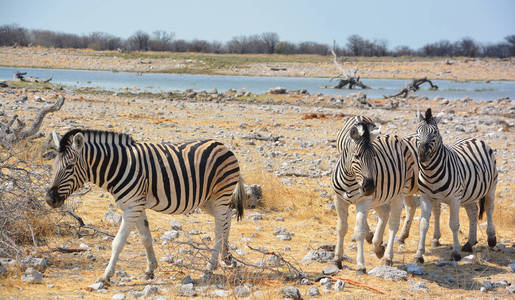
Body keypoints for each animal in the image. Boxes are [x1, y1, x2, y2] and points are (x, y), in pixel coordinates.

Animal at [45, 129, 247, 284]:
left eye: (70, 167)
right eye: (53, 165)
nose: (49, 199)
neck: (118, 166)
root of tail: (225, 147)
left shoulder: (132, 206)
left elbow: (117, 242)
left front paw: (106, 276)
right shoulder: (137, 205)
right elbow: (146, 238)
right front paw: (150, 269)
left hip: (220, 195)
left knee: (219, 228)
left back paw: (210, 266)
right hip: (207, 200)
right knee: (227, 218)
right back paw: (226, 257)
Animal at [330, 120, 420, 272]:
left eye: (374, 157)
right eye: (356, 156)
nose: (370, 187)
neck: (350, 179)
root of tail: (396, 137)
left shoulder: (363, 201)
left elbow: (359, 232)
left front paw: (360, 265)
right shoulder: (339, 199)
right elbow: (341, 229)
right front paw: (337, 259)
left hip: (399, 193)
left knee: (393, 224)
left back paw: (388, 257)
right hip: (379, 198)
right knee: (385, 213)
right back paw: (378, 246)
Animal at [414, 108, 498, 262]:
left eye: (435, 133)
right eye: (417, 131)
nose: (422, 155)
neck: (431, 174)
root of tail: (474, 138)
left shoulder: (454, 199)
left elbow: (453, 225)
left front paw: (455, 253)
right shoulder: (426, 198)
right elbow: (423, 224)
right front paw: (419, 255)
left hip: (491, 187)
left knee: (489, 209)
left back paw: (491, 239)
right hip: (468, 194)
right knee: (473, 211)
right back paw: (470, 243)